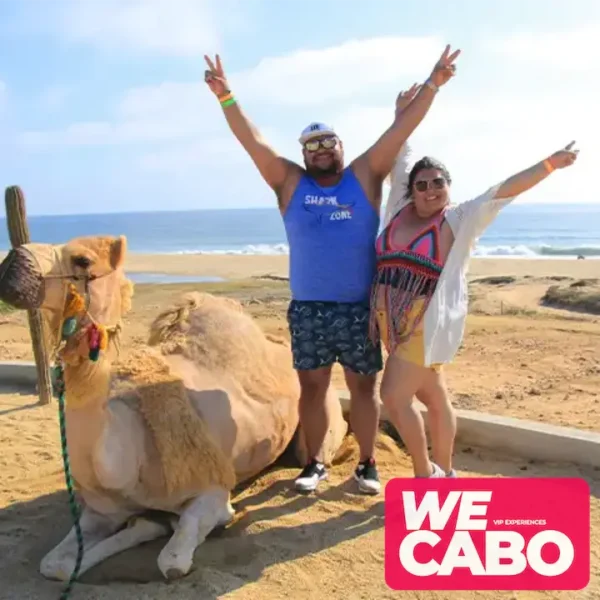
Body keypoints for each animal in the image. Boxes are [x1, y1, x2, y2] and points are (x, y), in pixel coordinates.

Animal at [0, 236, 346, 580]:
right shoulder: (102, 508)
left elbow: (172, 563)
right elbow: (54, 565)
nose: (11, 262)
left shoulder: (212, 490)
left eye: (82, 260)